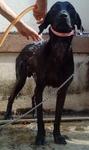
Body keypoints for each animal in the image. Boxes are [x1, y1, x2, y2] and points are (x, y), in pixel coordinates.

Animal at [4, 1, 82, 145]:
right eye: (55, 8)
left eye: (71, 8)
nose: (63, 15)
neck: (59, 48)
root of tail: (28, 46)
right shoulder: (40, 87)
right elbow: (41, 118)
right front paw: (40, 137)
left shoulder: (63, 89)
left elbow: (58, 117)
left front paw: (57, 136)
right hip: (21, 79)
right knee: (12, 96)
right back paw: (8, 115)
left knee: (33, 96)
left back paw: (33, 113)